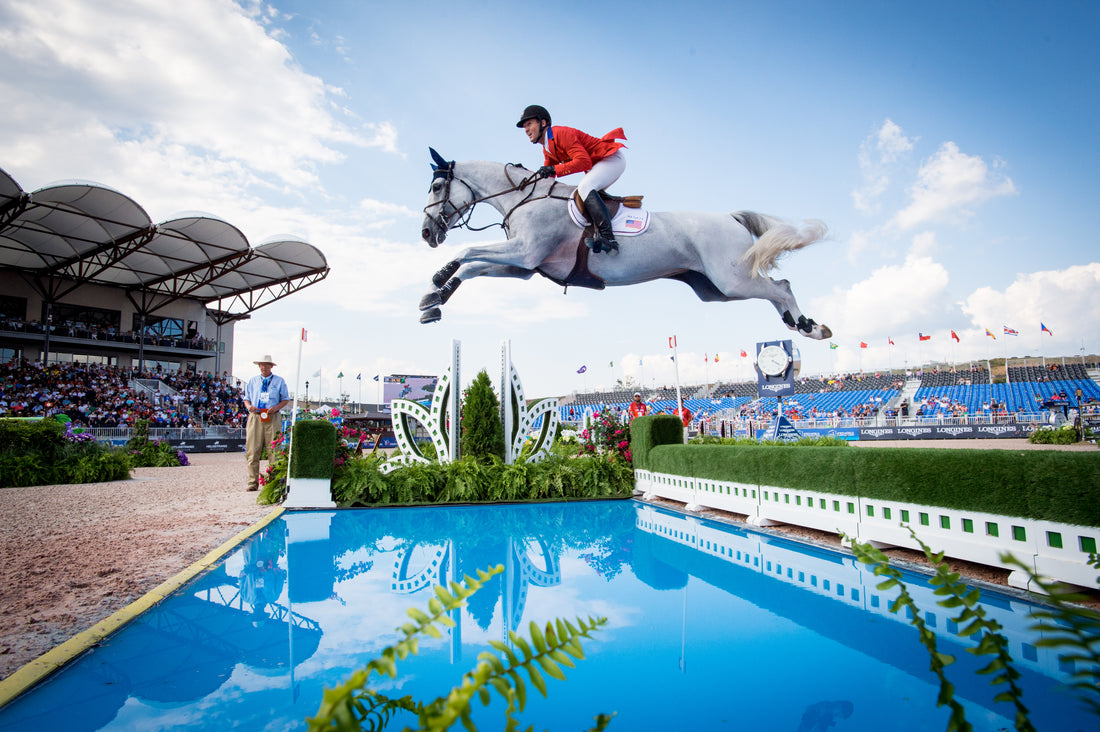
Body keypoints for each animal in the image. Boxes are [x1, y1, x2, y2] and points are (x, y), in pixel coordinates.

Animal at [415, 153, 827, 341]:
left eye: (436, 187)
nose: (427, 233)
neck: (522, 197)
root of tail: (730, 217)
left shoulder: (524, 252)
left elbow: (466, 254)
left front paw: (435, 281)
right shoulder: (525, 266)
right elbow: (472, 267)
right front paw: (433, 302)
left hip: (731, 279)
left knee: (781, 287)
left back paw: (810, 326)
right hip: (716, 290)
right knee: (775, 290)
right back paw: (799, 325)